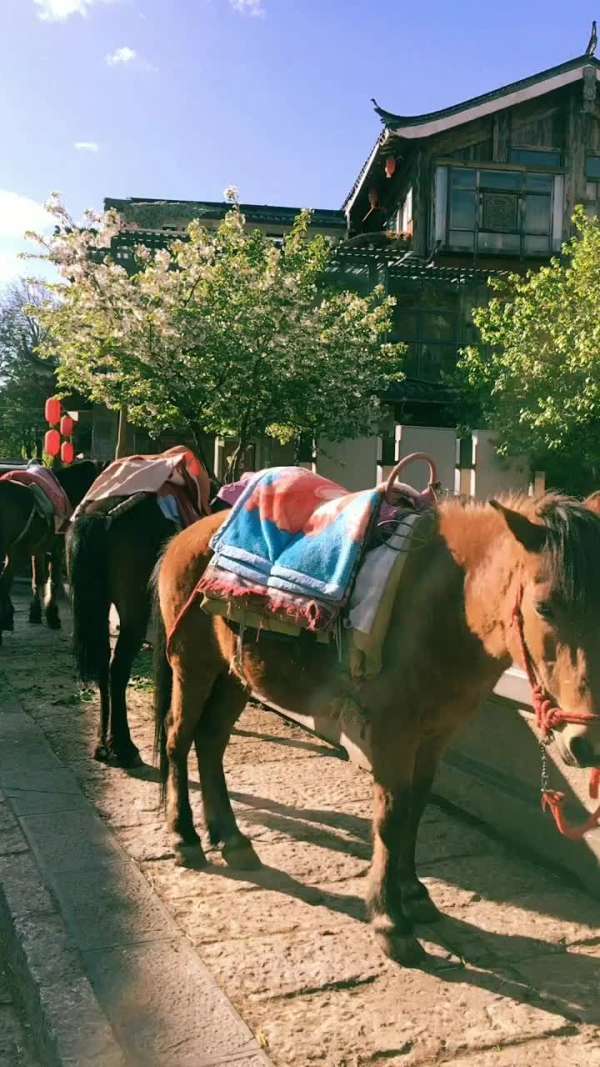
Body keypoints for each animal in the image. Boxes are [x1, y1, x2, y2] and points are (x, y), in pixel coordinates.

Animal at [0, 461, 100, 642]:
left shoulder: (37, 549)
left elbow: (38, 579)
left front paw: (35, 613)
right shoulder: (55, 548)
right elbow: (53, 580)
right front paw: (53, 616)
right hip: (14, 552)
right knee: (4, 582)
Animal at [153, 493, 600, 966]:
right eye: (543, 606)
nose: (586, 743)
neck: (444, 611)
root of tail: (183, 538)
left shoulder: (434, 736)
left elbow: (415, 809)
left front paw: (414, 893)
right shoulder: (392, 736)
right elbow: (390, 817)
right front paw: (391, 922)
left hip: (234, 676)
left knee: (211, 741)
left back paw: (232, 840)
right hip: (193, 667)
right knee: (178, 738)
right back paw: (185, 837)